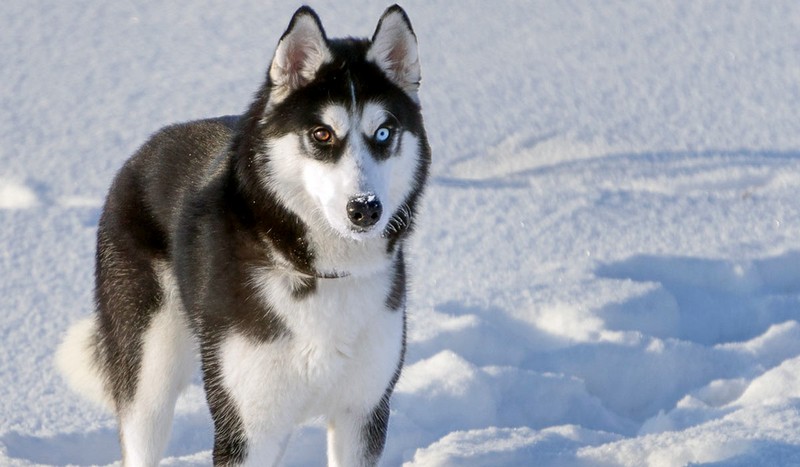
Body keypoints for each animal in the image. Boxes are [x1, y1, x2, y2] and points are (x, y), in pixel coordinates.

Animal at [54, 5, 432, 466]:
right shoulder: (247, 426)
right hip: (149, 374)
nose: (364, 209)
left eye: (383, 133)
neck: (321, 274)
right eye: (322, 133)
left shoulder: (362, 413)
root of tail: (142, 153)